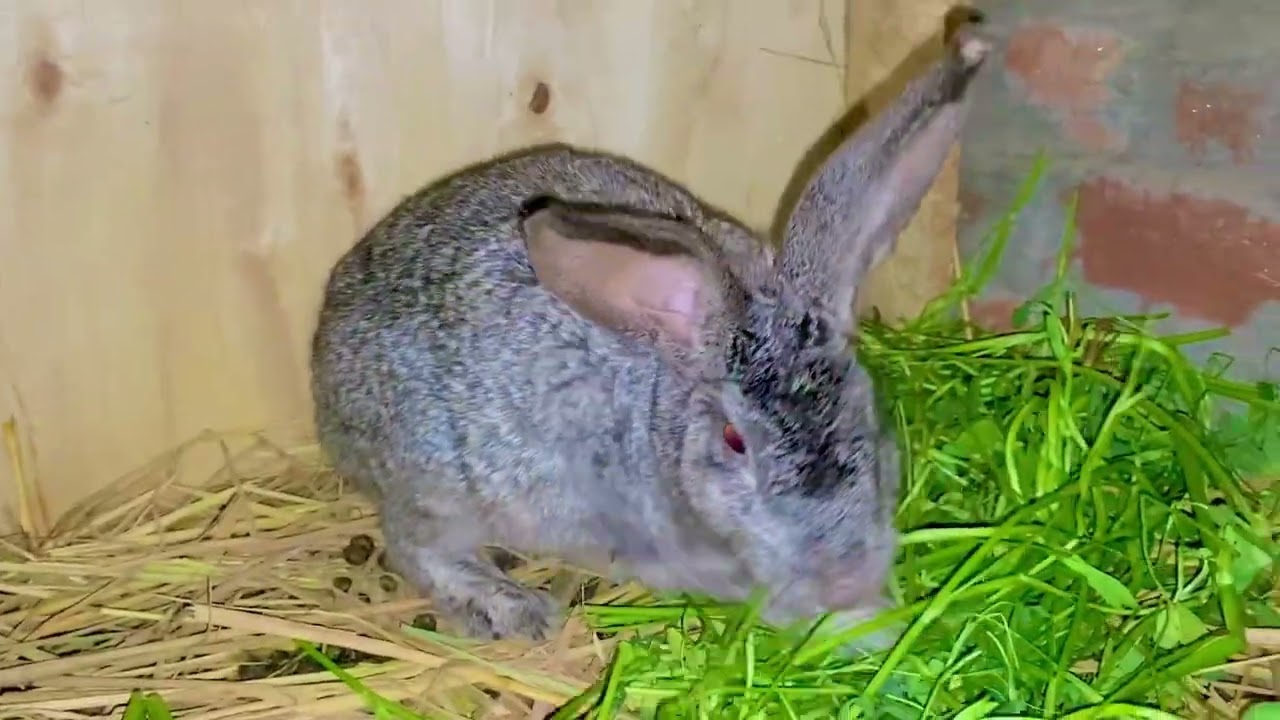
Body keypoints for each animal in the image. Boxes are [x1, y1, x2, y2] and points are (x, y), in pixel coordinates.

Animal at [309, 25, 990, 648]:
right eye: (734, 441)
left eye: (866, 408)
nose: (845, 578)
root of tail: (323, 366)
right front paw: (865, 627)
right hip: (441, 484)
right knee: (414, 542)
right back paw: (510, 609)